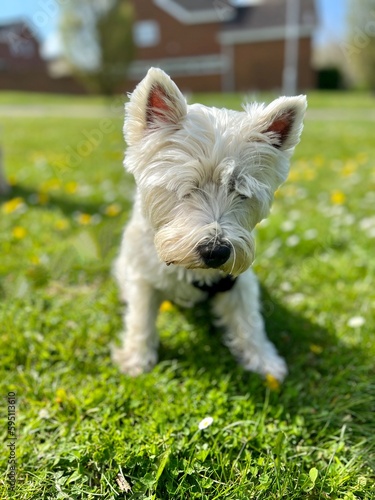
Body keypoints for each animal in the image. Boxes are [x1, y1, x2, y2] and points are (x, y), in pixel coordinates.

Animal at [113, 68, 306, 380]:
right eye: (187, 187)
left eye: (241, 191)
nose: (215, 252)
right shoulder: (143, 277)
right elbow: (141, 317)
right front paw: (136, 358)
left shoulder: (238, 282)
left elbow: (249, 320)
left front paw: (265, 360)